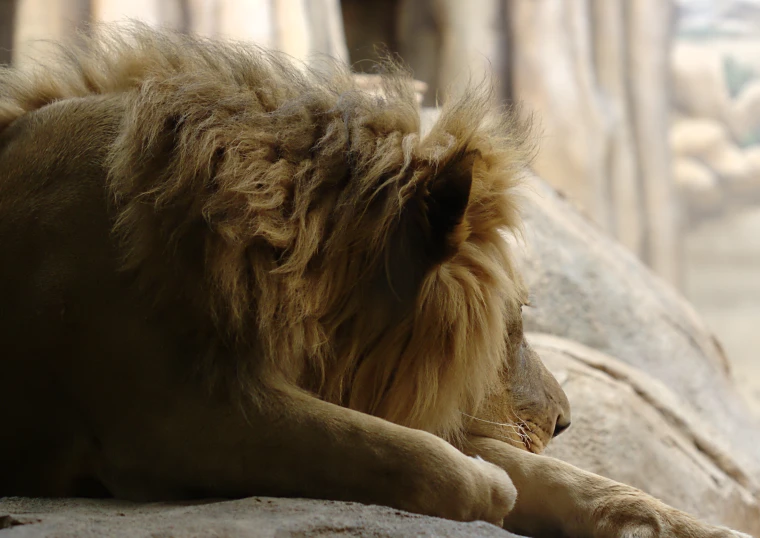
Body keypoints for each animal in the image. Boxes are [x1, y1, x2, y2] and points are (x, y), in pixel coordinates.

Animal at [0, 26, 752, 536]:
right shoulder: (166, 415)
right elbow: (415, 457)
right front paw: (492, 486)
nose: (565, 421)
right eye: (511, 327)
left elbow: (574, 479)